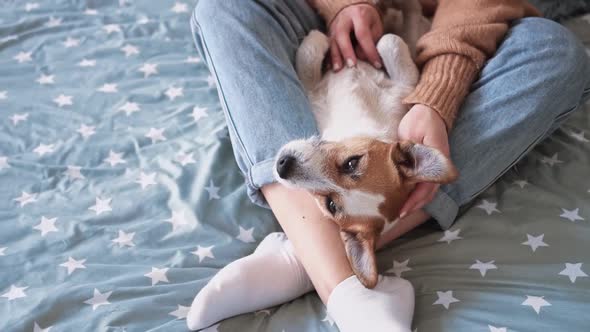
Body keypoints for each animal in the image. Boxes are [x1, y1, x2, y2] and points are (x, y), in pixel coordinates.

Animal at [272, 1, 458, 288]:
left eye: (331, 205)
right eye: (352, 163)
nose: (283, 165)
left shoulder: (404, 82)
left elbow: (388, 41)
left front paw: (321, 37)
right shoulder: (401, 88)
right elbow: (389, 40)